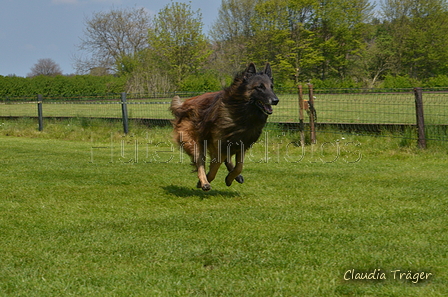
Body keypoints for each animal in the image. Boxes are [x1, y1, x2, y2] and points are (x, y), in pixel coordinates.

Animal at [170, 62, 278, 191]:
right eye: (260, 87)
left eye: (271, 87)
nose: (276, 100)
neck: (241, 114)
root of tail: (183, 105)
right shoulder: (219, 144)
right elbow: (216, 165)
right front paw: (205, 180)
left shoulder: (241, 144)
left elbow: (239, 166)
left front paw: (230, 178)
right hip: (194, 142)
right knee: (200, 162)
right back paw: (205, 182)